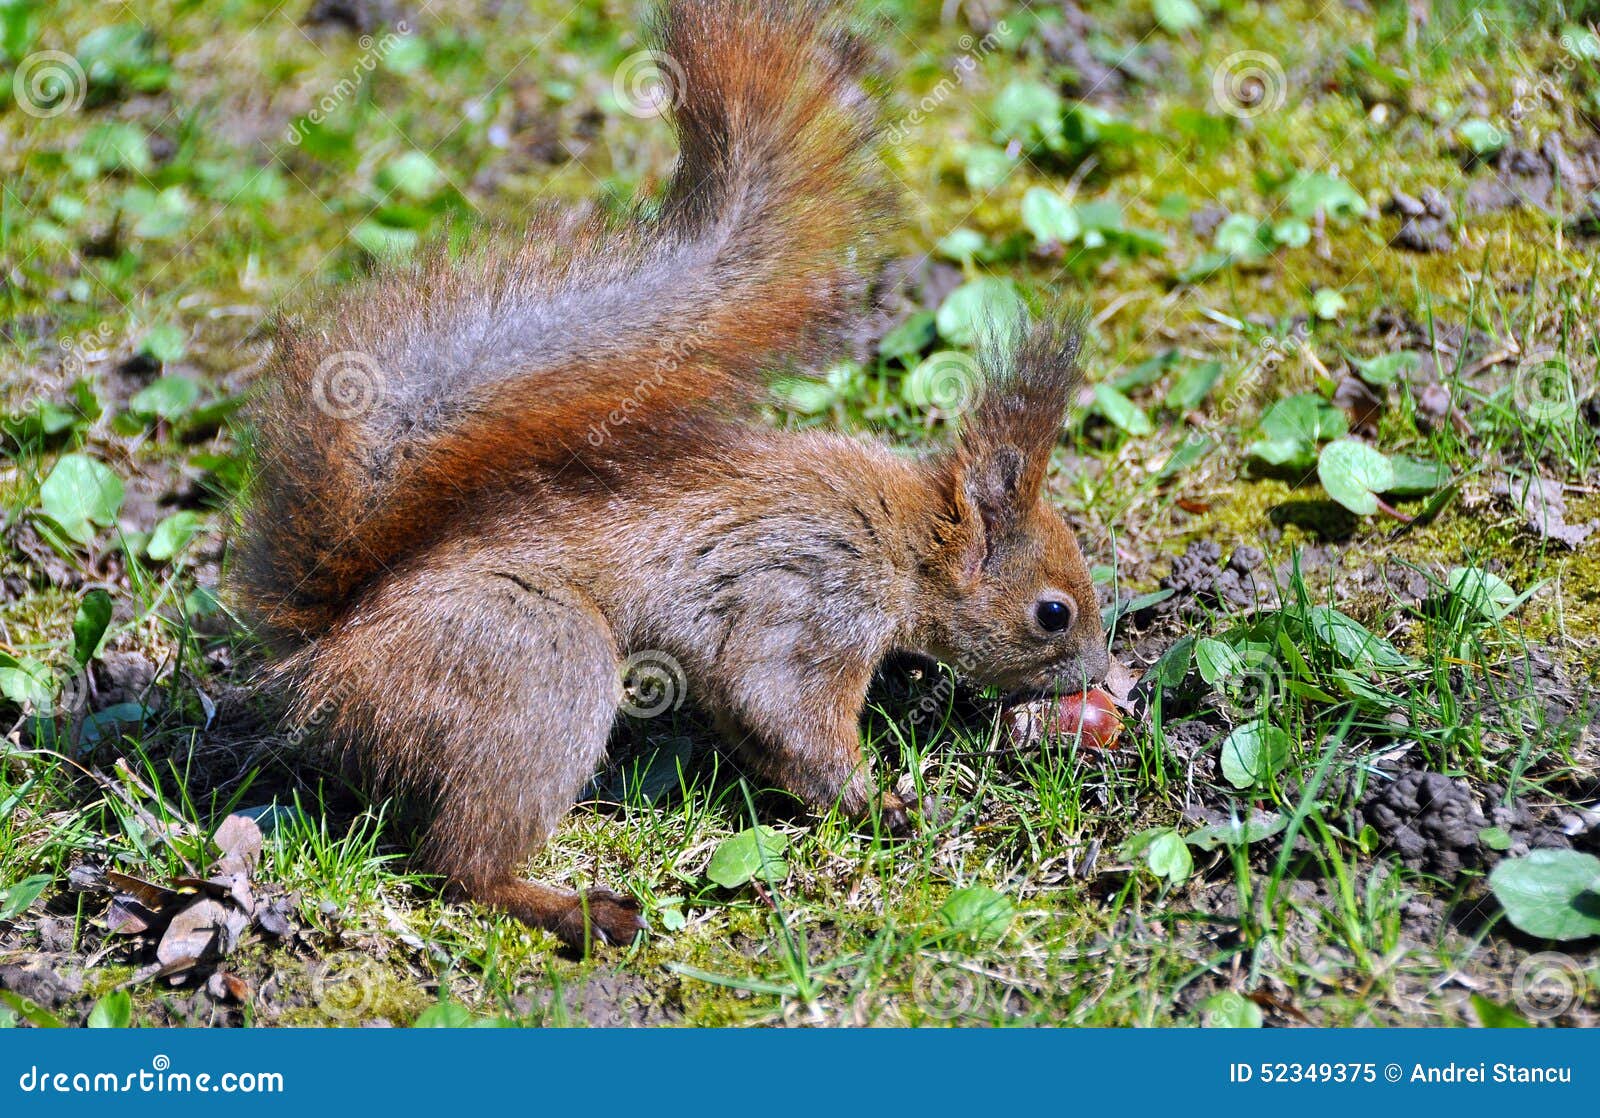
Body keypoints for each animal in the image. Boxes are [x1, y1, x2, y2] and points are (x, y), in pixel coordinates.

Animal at [234, 0, 1108, 949]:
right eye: (1052, 613)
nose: (1103, 678)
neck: (904, 536)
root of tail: (328, 653)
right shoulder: (815, 598)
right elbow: (781, 703)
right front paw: (884, 804)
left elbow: (755, 725)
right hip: (535, 659)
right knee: (460, 865)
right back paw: (584, 911)